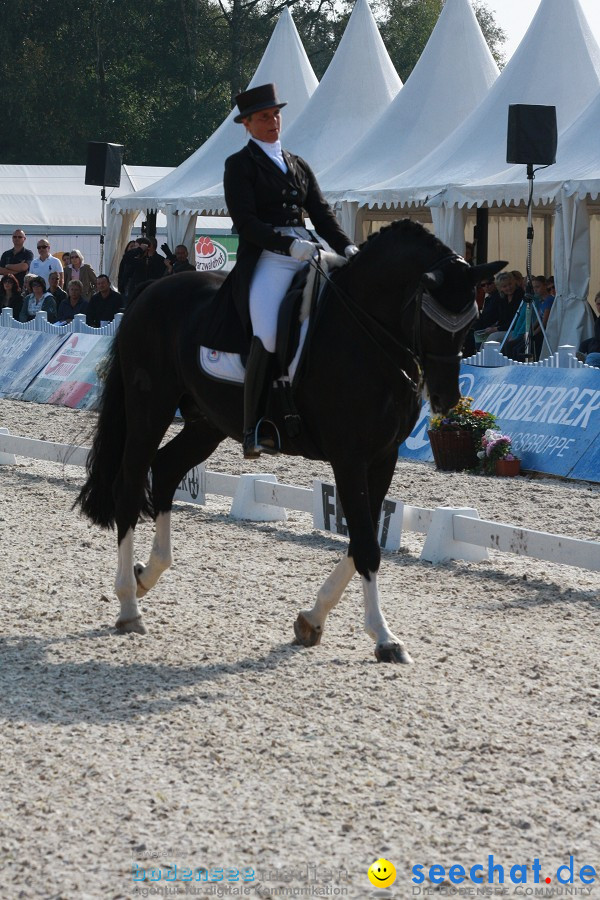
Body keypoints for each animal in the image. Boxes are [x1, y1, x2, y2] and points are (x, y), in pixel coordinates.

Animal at [77, 220, 504, 660]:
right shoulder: (349, 457)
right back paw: (129, 605)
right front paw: (385, 638)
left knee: (165, 470)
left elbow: (363, 540)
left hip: (208, 422)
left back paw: (147, 574)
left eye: (470, 321)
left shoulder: (382, 457)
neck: (366, 333)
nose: (447, 399)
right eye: (430, 320)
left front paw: (312, 620)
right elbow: (366, 544)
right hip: (151, 408)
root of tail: (150, 290)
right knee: (130, 485)